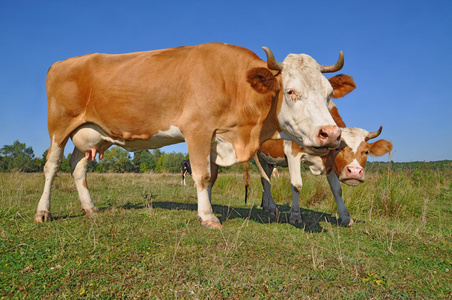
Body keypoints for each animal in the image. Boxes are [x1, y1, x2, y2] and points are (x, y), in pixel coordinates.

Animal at [36, 42, 350, 229]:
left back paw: (90, 210)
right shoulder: (197, 128)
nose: (331, 134)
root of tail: (63, 62)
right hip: (59, 127)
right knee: (52, 167)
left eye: (329, 93)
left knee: (78, 168)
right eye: (291, 91)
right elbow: (202, 175)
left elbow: (211, 176)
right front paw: (208, 217)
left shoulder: (214, 138)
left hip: (88, 133)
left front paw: (205, 207)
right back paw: (43, 212)